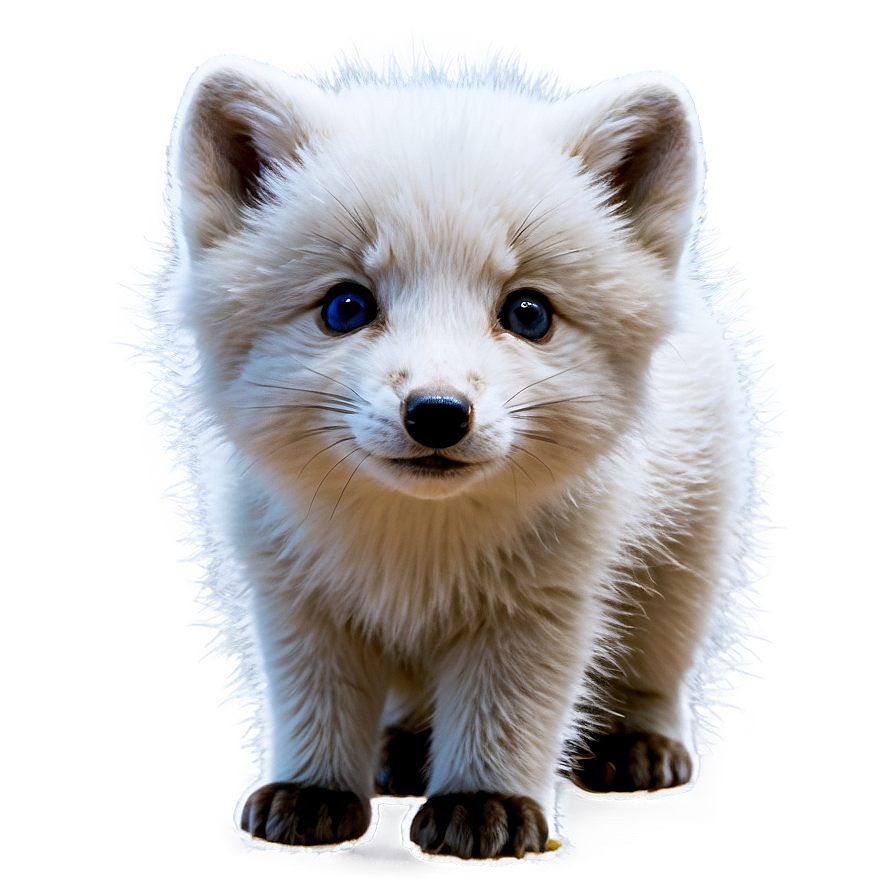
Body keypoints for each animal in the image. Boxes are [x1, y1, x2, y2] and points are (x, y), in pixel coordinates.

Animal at [146, 55, 767, 862]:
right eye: (345, 306)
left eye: (528, 313)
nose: (438, 413)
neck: (418, 553)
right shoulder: (295, 596)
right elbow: (314, 703)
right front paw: (313, 794)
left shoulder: (543, 603)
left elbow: (507, 711)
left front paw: (482, 807)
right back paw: (403, 752)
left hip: (683, 563)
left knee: (653, 665)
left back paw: (636, 746)